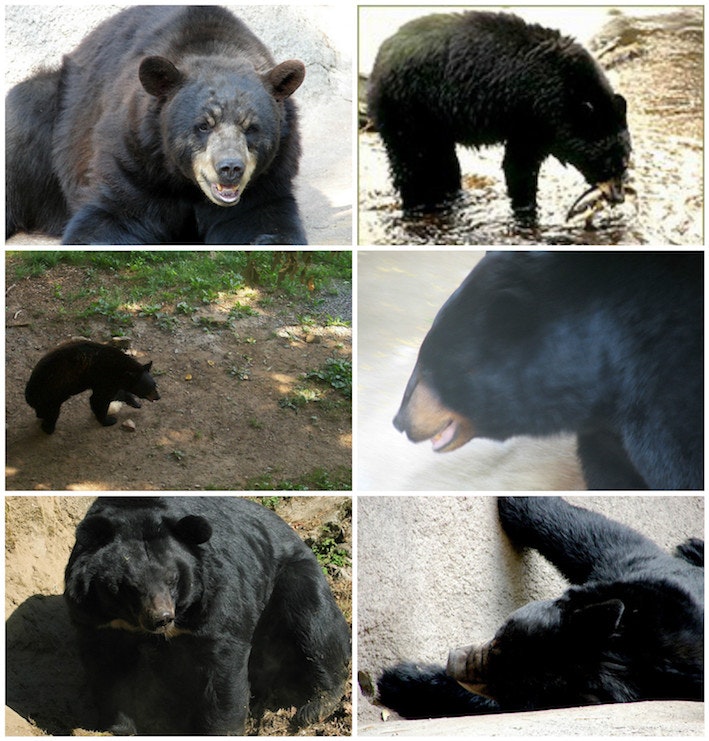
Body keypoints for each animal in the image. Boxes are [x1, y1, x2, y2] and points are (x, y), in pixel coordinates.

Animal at [6, 6, 306, 245]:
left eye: (251, 127)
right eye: (203, 126)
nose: (230, 168)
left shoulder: (266, 179)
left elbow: (261, 221)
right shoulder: (136, 159)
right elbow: (112, 216)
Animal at [25, 340, 160, 434]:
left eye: (155, 385)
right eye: (148, 388)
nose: (158, 397)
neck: (121, 370)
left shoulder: (110, 382)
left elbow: (118, 393)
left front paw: (135, 402)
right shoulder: (104, 378)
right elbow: (98, 400)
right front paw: (108, 420)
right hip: (52, 394)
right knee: (52, 413)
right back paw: (48, 428)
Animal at [64, 496, 351, 735]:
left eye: (173, 579)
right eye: (130, 587)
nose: (162, 618)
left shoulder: (214, 593)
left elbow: (223, 663)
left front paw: (222, 730)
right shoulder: (96, 617)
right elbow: (108, 669)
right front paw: (118, 728)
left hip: (292, 577)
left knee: (316, 628)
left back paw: (313, 708)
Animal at [367, 11, 630, 222]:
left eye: (625, 161)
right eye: (607, 163)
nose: (619, 197)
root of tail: (379, 56)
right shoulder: (531, 113)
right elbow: (519, 164)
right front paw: (527, 209)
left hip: (433, 121)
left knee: (442, 160)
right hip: (407, 106)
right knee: (410, 161)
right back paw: (416, 205)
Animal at [376, 496, 704, 719]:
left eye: (509, 686)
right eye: (499, 636)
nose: (453, 660)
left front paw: (401, 680)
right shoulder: (645, 586)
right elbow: (590, 536)